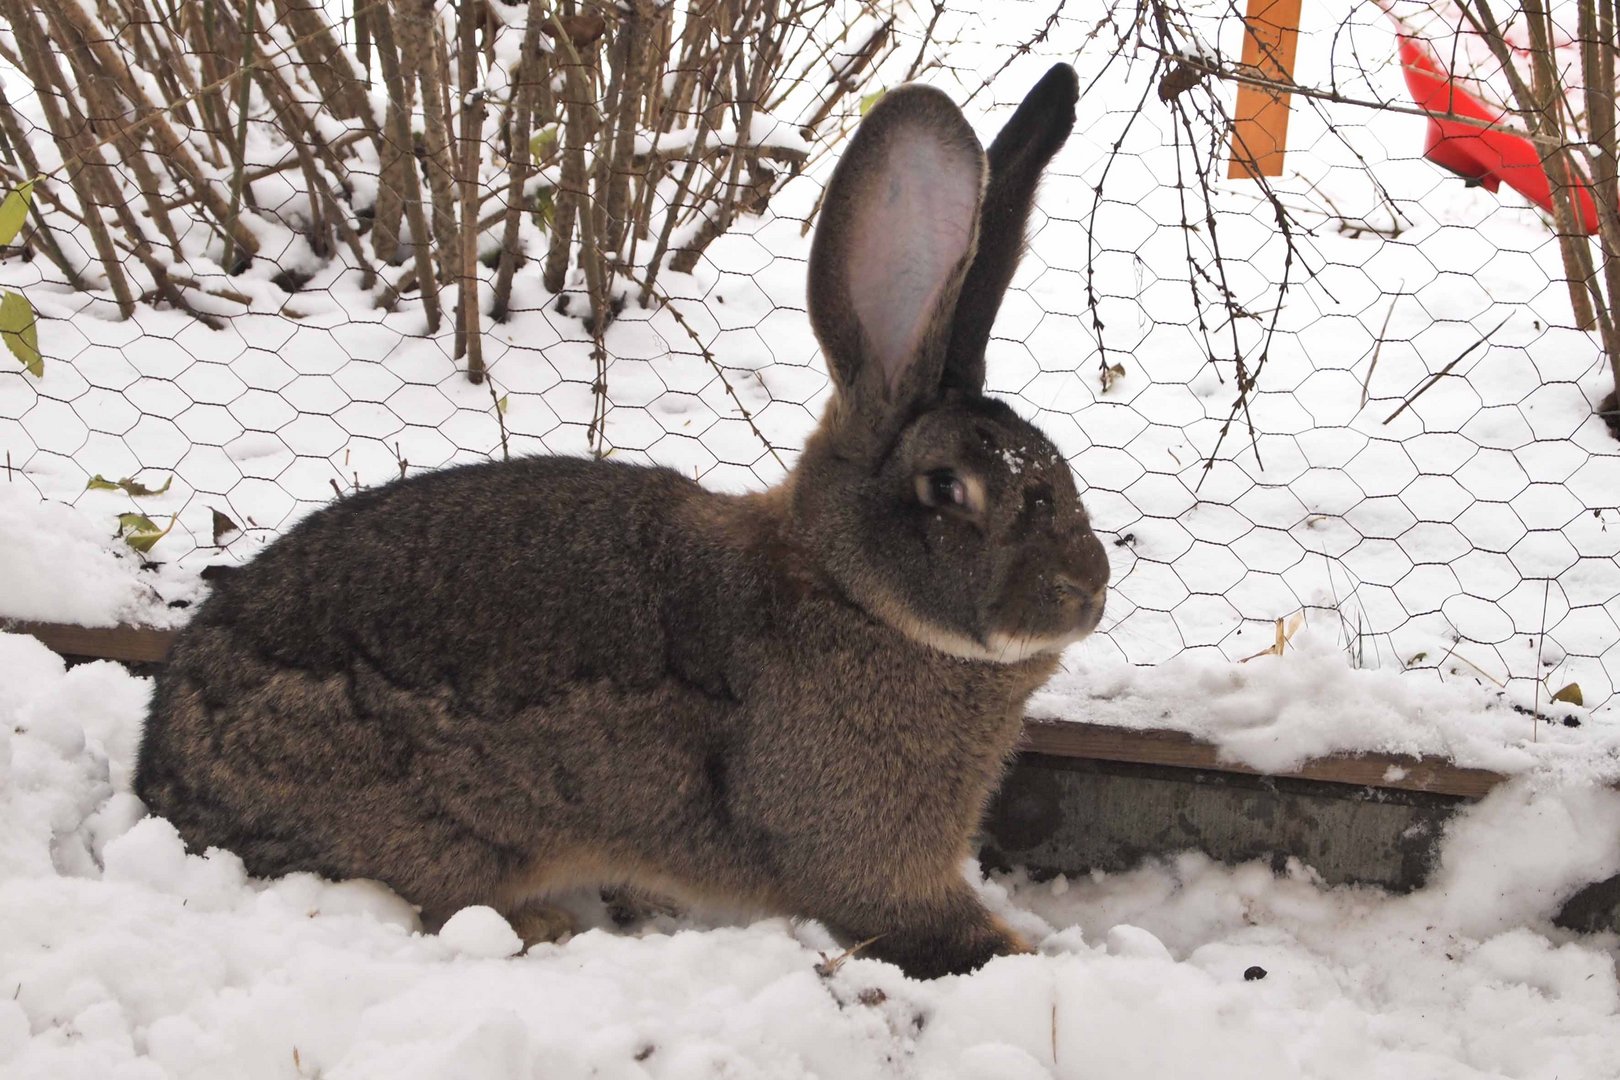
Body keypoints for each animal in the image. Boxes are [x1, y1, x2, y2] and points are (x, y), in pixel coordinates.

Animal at [136, 63, 1114, 984]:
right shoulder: (865, 859)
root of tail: (166, 772)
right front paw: (1037, 964)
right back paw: (539, 923)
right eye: (949, 489)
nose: (1090, 590)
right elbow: (936, 932)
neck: (851, 595)